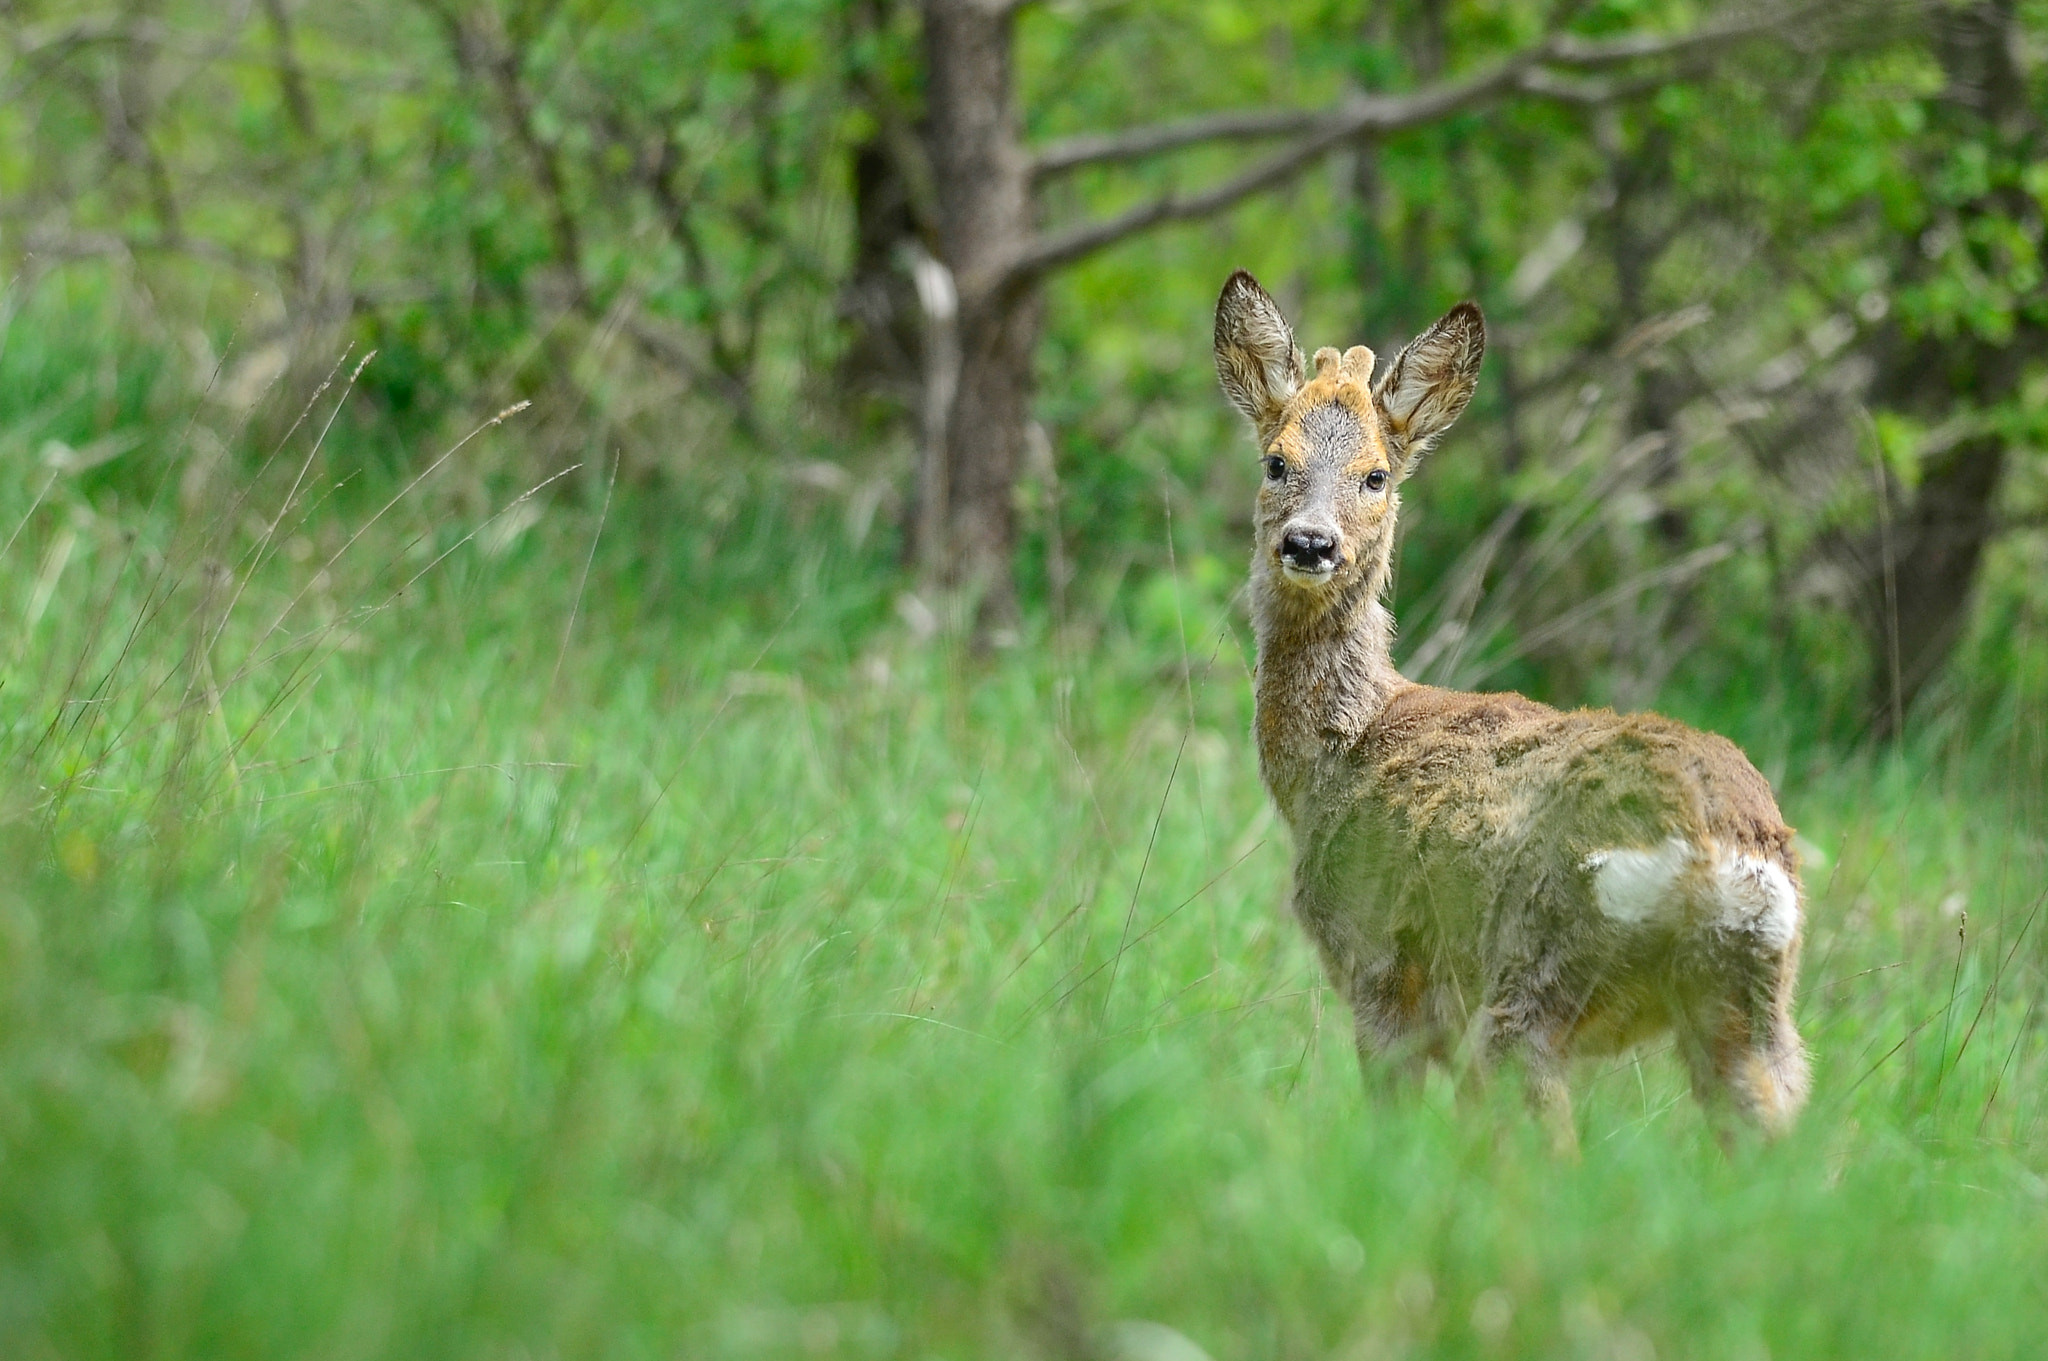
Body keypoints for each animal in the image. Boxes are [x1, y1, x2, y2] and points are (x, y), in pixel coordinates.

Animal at [1212, 270, 1810, 1137]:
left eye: (1376, 475)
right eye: (1275, 461)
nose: (1311, 544)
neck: (1344, 747)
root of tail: (1713, 844)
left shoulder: (1377, 958)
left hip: (1535, 970)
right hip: (1754, 1008)